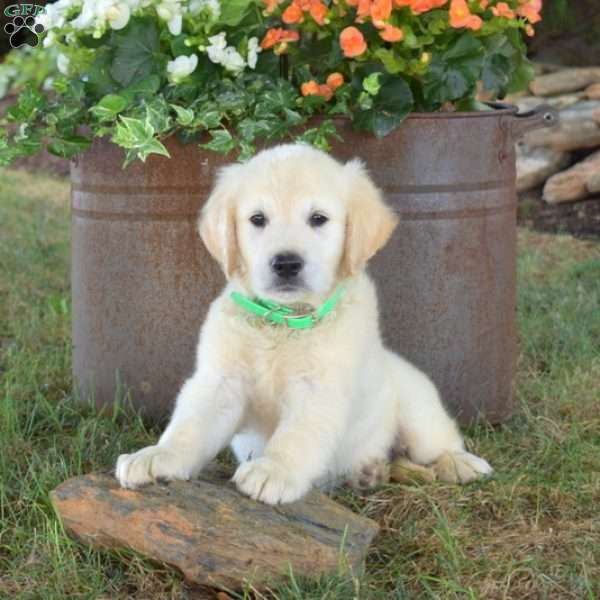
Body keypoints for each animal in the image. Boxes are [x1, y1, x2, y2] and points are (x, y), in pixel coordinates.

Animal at [116, 144, 492, 502]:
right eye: (257, 219)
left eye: (318, 219)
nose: (286, 263)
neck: (284, 319)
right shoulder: (220, 380)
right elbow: (189, 425)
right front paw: (157, 456)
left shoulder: (319, 387)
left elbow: (296, 435)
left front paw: (274, 471)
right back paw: (369, 472)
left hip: (417, 405)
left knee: (437, 444)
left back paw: (459, 464)